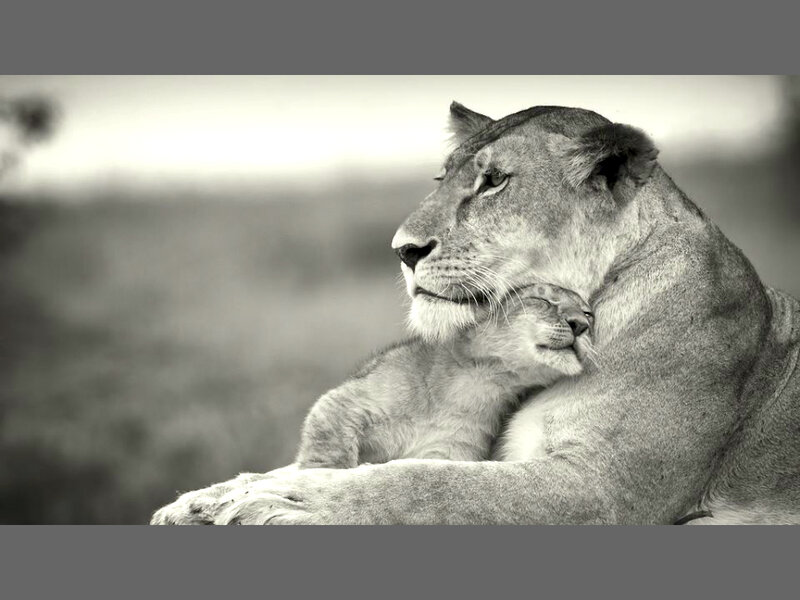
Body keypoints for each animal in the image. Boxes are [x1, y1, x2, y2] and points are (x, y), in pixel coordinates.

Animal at [152, 102, 800, 525]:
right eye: (443, 178)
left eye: (492, 183)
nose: (403, 250)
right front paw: (210, 497)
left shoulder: (606, 488)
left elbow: (427, 484)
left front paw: (291, 500)